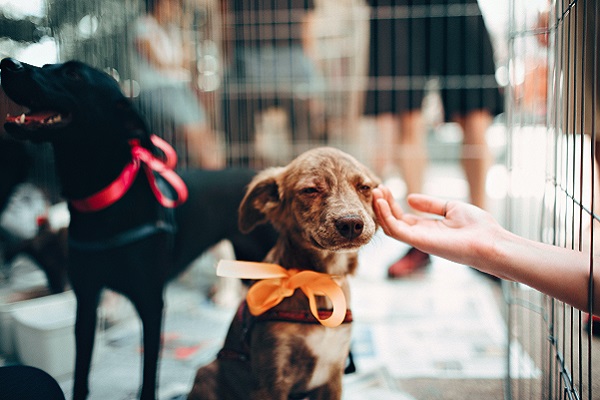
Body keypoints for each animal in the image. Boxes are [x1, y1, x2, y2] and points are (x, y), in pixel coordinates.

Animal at [0, 58, 276, 400]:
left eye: (73, 74)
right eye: (48, 64)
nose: (8, 64)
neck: (103, 202)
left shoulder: (151, 303)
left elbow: (148, 377)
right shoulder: (86, 301)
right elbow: (81, 374)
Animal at [188, 147, 380, 400]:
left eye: (364, 187)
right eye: (310, 190)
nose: (351, 224)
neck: (318, 282)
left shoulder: (333, 375)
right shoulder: (272, 377)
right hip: (207, 373)